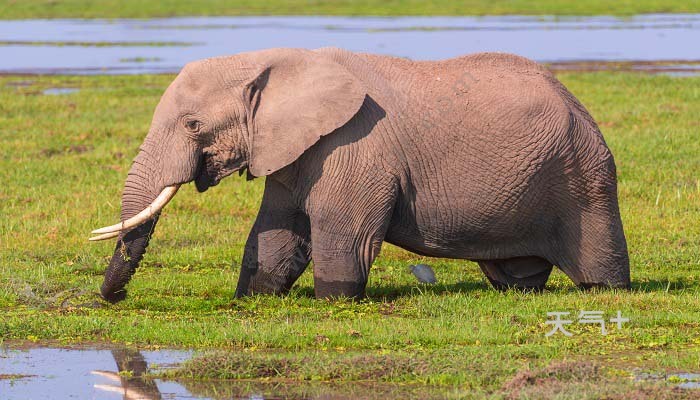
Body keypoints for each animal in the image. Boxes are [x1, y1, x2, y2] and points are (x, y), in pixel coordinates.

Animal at [90, 47, 632, 304]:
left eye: (192, 125)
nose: (113, 300)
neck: (271, 61)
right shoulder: (293, 150)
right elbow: (275, 236)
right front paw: (251, 300)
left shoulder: (354, 147)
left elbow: (342, 235)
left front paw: (334, 303)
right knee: (517, 276)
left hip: (583, 178)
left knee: (598, 269)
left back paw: (604, 290)